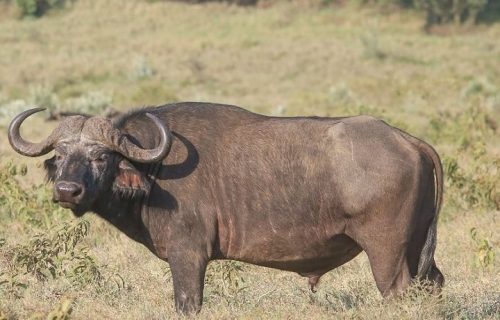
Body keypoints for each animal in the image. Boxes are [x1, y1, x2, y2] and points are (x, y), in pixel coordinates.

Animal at [8, 104, 446, 314]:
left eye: (100, 157)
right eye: (61, 155)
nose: (67, 190)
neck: (154, 172)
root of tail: (406, 139)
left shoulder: (188, 257)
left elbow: (188, 303)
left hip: (387, 255)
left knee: (398, 292)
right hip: (418, 249)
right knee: (434, 285)